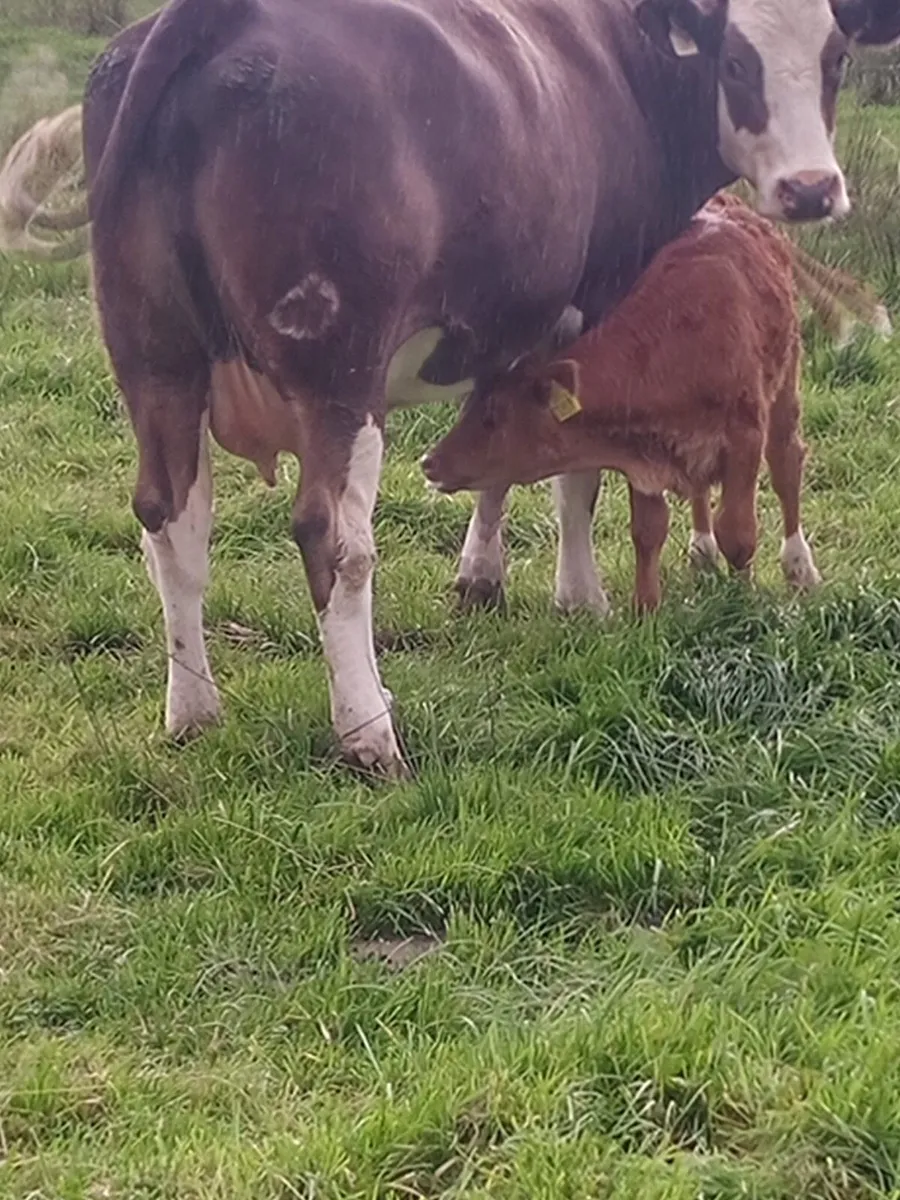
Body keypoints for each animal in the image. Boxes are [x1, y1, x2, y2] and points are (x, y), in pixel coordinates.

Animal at [422, 194, 823, 612]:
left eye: (492, 416)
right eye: (470, 407)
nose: (429, 462)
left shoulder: (745, 436)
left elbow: (738, 531)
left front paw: (742, 596)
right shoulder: (644, 453)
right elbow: (648, 529)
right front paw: (645, 609)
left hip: (785, 388)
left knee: (786, 464)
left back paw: (799, 567)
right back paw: (702, 552)